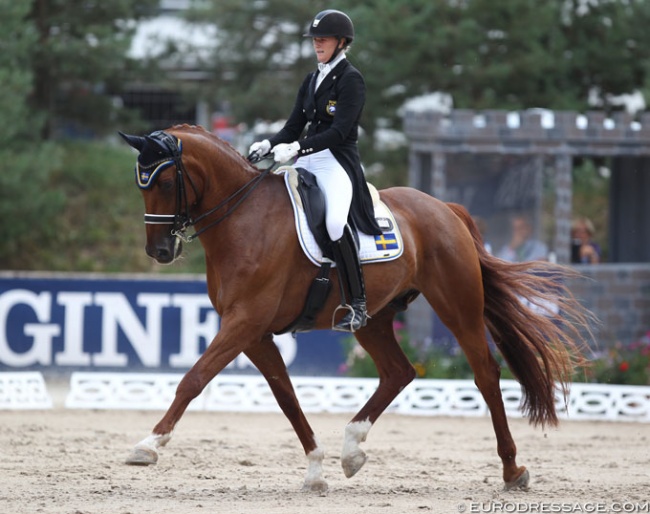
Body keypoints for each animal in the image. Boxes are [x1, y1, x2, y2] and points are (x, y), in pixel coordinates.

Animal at [117, 125, 588, 492]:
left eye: (163, 183)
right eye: (140, 185)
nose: (159, 252)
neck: (243, 217)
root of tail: (445, 208)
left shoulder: (244, 322)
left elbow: (193, 380)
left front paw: (148, 445)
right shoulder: (253, 332)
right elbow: (286, 396)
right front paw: (315, 471)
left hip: (458, 305)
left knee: (486, 374)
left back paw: (512, 470)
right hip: (372, 319)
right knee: (399, 372)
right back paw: (351, 450)